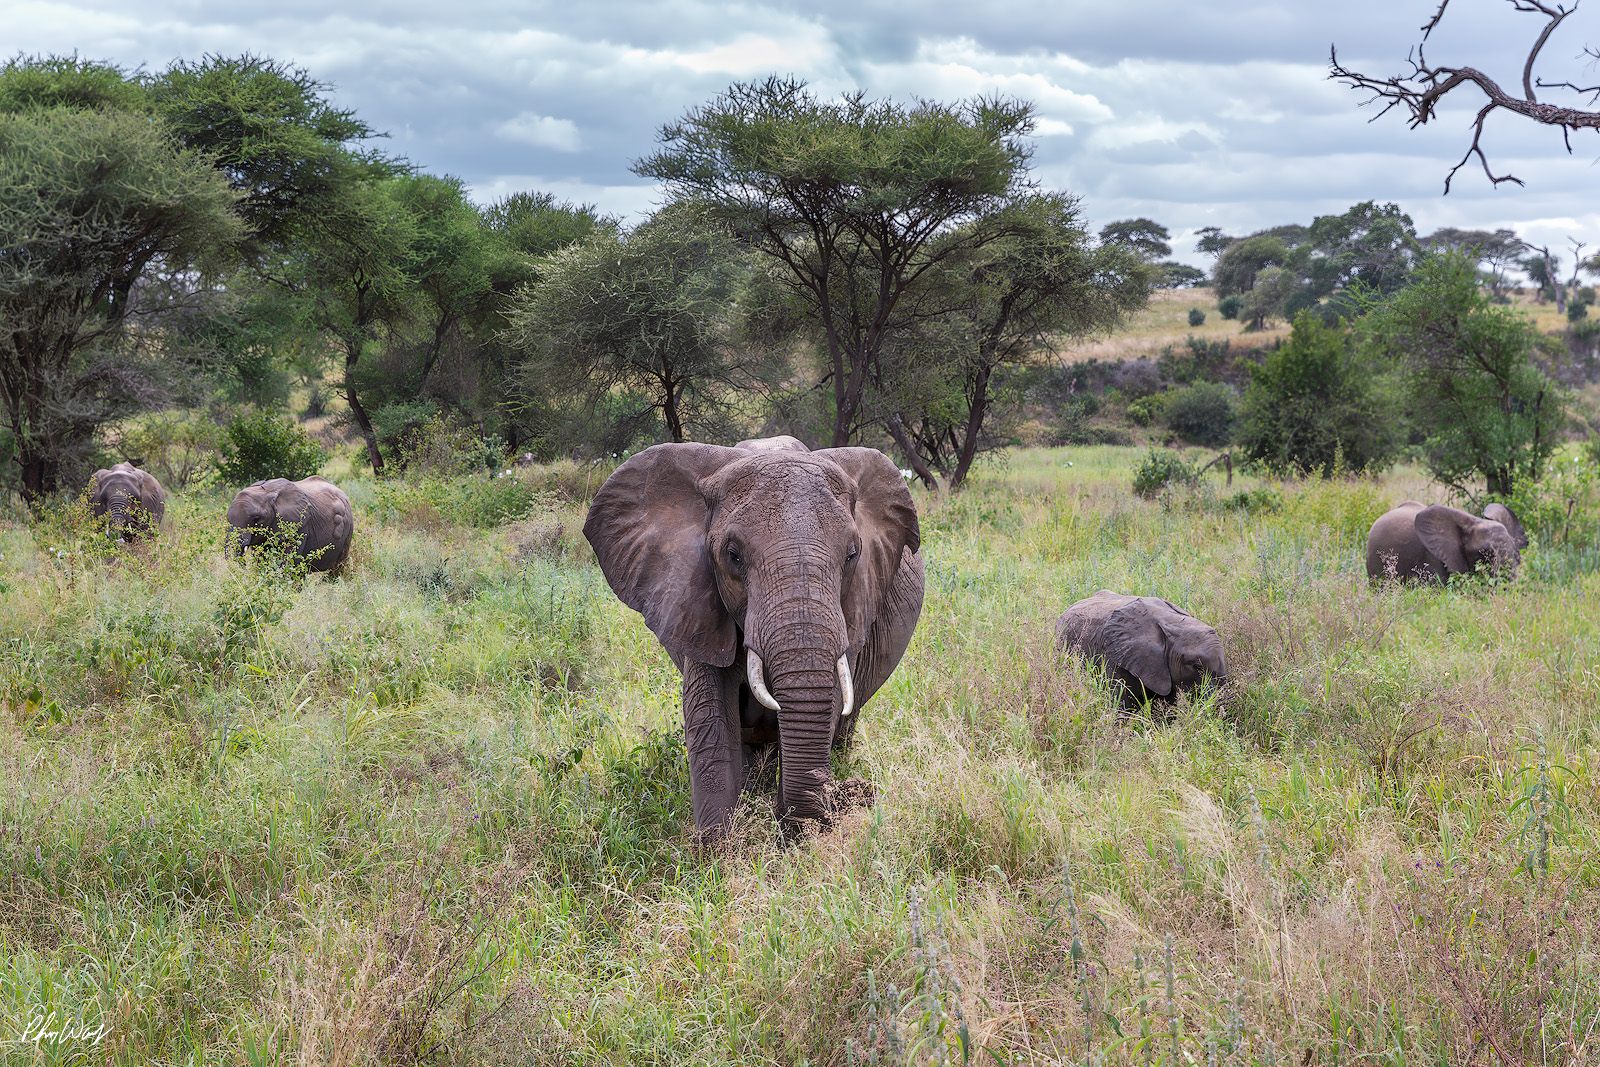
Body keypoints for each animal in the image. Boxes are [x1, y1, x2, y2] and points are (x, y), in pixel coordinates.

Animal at [225, 476, 354, 573]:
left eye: (257, 518)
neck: (266, 492)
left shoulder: (299, 525)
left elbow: (288, 559)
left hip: (348, 528)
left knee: (338, 566)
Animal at [584, 437, 925, 837]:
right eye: (732, 556)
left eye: (853, 554)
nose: (858, 794)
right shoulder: (695, 606)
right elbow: (709, 715)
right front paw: (720, 849)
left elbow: (828, 705)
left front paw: (794, 838)